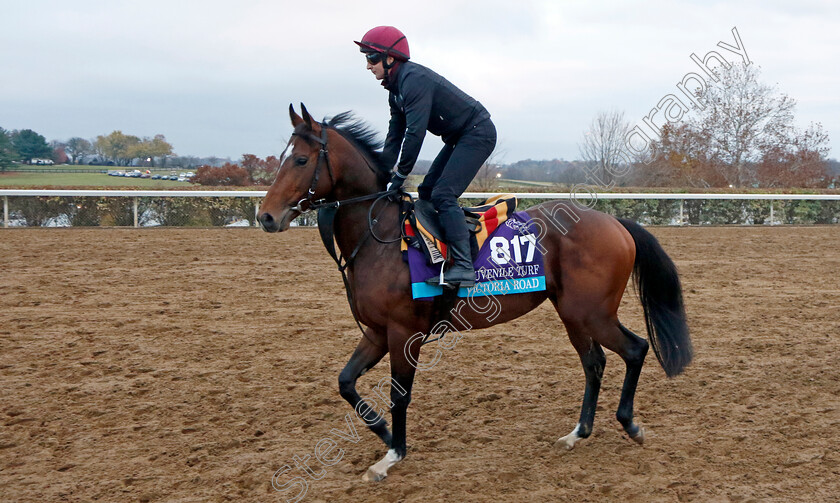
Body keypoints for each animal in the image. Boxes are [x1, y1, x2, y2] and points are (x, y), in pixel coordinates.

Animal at [260, 104, 692, 482]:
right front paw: (384, 432)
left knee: (635, 349)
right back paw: (578, 432)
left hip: (592, 313)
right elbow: (346, 381)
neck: (378, 235)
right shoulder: (378, 332)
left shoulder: (403, 332)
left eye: (301, 161)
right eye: (281, 157)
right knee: (594, 363)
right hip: (572, 313)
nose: (266, 216)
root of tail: (616, 223)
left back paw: (629, 424)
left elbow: (400, 394)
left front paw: (393, 454)